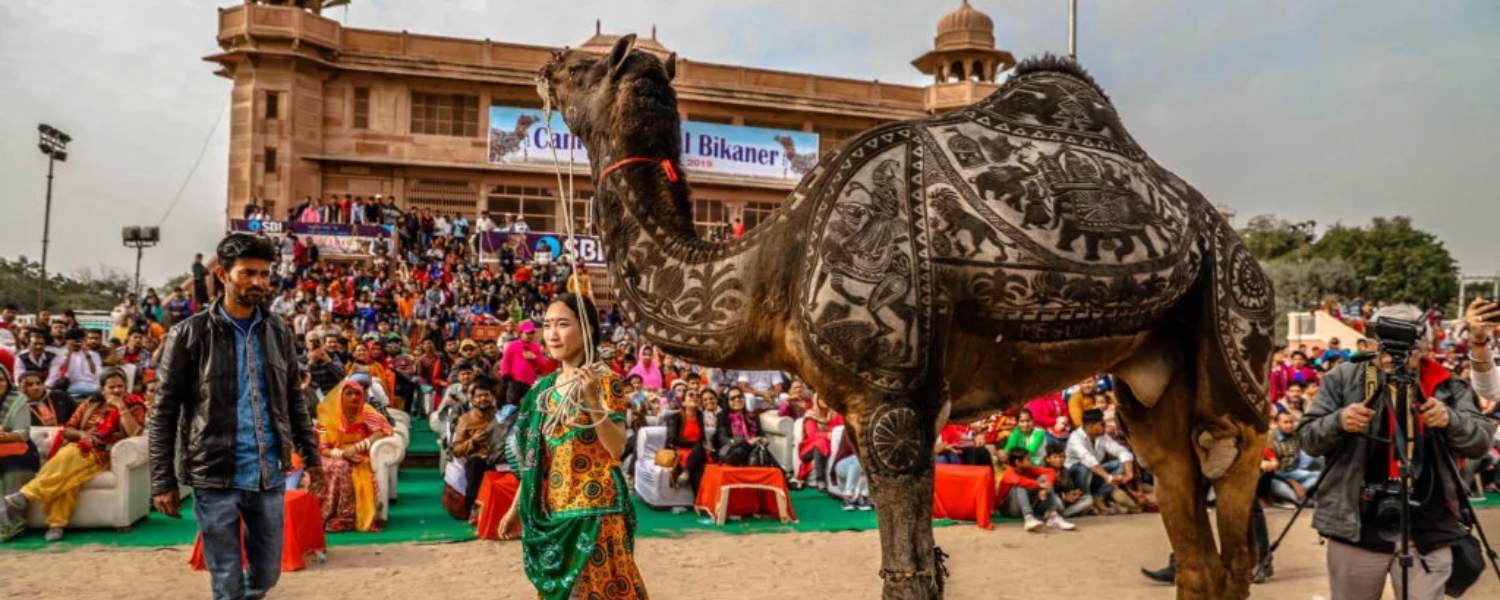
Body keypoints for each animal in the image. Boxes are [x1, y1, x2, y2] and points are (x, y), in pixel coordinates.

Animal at [540, 35, 1278, 597]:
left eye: (583, 68)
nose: (547, 66)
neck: (770, 265)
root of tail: (1225, 236)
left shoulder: (890, 403)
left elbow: (910, 574)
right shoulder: (889, 410)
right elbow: (923, 568)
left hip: (1234, 317)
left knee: (1230, 469)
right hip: (1151, 376)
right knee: (1188, 522)